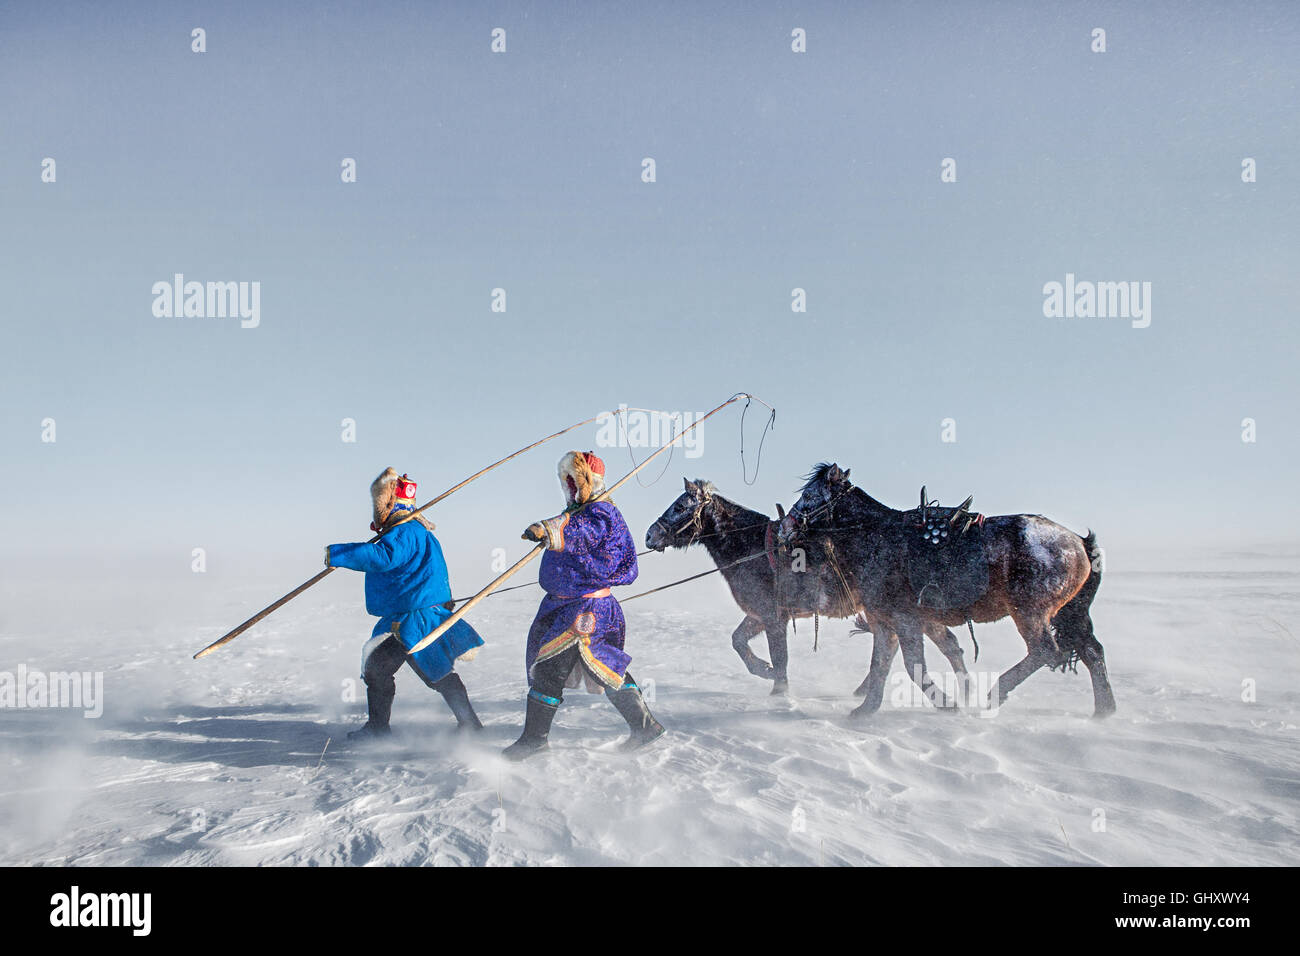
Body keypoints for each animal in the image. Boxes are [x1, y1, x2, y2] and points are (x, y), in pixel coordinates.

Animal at [644, 478, 972, 697]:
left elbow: (780, 655)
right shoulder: (760, 615)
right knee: (942, 645)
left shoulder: (773, 617)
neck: (751, 547)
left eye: (680, 506)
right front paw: (764, 671)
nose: (650, 535)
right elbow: (738, 641)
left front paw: (779, 691)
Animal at [774, 463, 1112, 717]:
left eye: (810, 496)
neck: (879, 538)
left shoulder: (905, 619)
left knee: (1045, 651)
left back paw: (996, 692)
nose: (783, 529)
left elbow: (912, 665)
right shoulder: (885, 620)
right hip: (1069, 613)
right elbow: (881, 664)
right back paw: (1104, 710)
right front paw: (866, 709)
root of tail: (1078, 542)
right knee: (1092, 651)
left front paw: (946, 703)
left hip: (1030, 613)